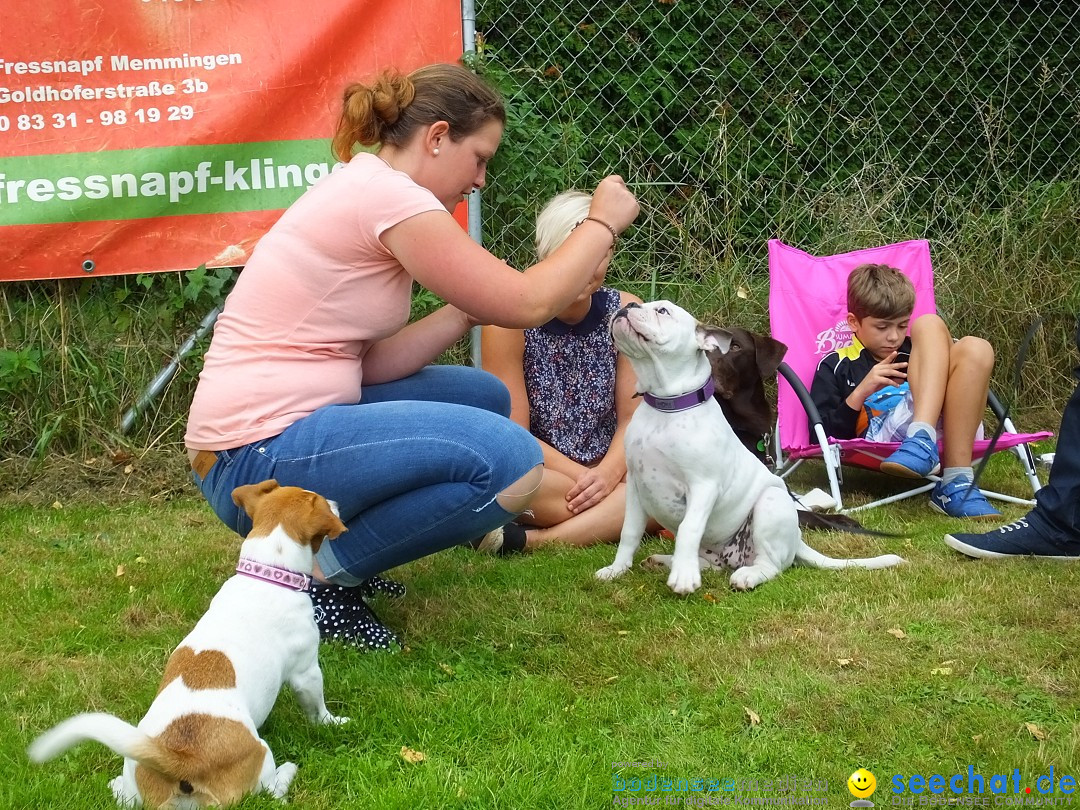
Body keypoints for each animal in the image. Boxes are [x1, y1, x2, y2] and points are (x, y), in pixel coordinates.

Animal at [30, 479, 349, 807]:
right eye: (319, 499)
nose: (338, 502)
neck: (267, 575)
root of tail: (182, 759)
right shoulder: (306, 671)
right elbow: (317, 707)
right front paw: (332, 721)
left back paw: (118, 786)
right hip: (260, 757)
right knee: (270, 792)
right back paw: (287, 773)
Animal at [596, 304, 907, 596]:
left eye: (662, 310)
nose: (628, 306)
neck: (666, 408)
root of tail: (797, 540)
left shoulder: (703, 486)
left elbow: (688, 528)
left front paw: (683, 578)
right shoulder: (637, 485)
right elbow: (629, 532)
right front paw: (616, 569)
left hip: (769, 504)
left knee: (772, 564)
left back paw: (746, 576)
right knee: (712, 563)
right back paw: (665, 560)